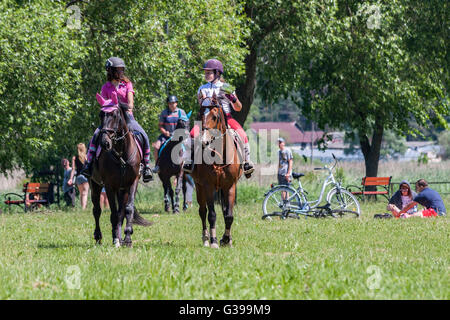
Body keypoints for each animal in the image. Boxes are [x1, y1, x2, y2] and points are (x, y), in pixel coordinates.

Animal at [89, 102, 153, 248]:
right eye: (101, 114)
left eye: (114, 115)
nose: (104, 143)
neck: (121, 152)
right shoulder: (108, 185)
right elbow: (113, 212)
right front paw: (115, 239)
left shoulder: (132, 182)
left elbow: (127, 210)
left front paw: (127, 238)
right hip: (95, 185)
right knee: (97, 210)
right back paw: (98, 237)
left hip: (122, 190)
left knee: (121, 212)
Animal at [192, 94, 244, 249]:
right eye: (200, 114)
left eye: (214, 117)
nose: (204, 141)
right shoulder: (208, 186)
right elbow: (212, 215)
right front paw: (214, 241)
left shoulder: (230, 186)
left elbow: (229, 215)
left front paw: (226, 239)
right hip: (199, 187)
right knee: (203, 212)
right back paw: (206, 239)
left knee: (224, 211)